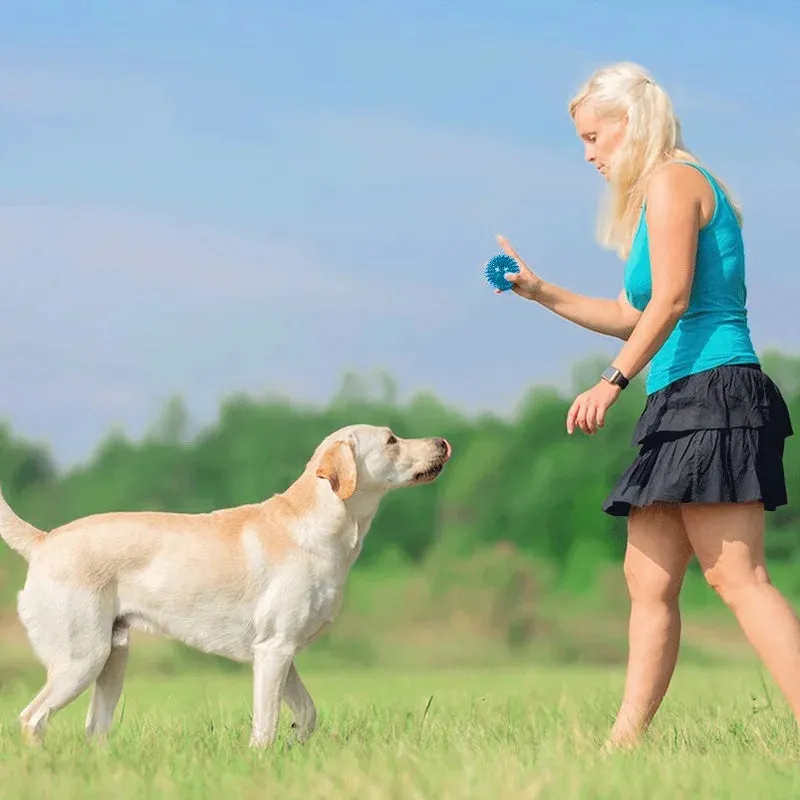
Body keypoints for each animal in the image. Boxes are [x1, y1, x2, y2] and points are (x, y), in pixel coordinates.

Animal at [0, 424, 450, 752]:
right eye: (391, 440)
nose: (443, 442)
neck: (322, 524)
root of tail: (43, 540)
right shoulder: (273, 651)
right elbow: (266, 724)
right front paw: (262, 760)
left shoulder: (282, 651)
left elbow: (306, 713)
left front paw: (295, 748)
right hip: (81, 659)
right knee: (32, 718)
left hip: (112, 659)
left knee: (93, 728)